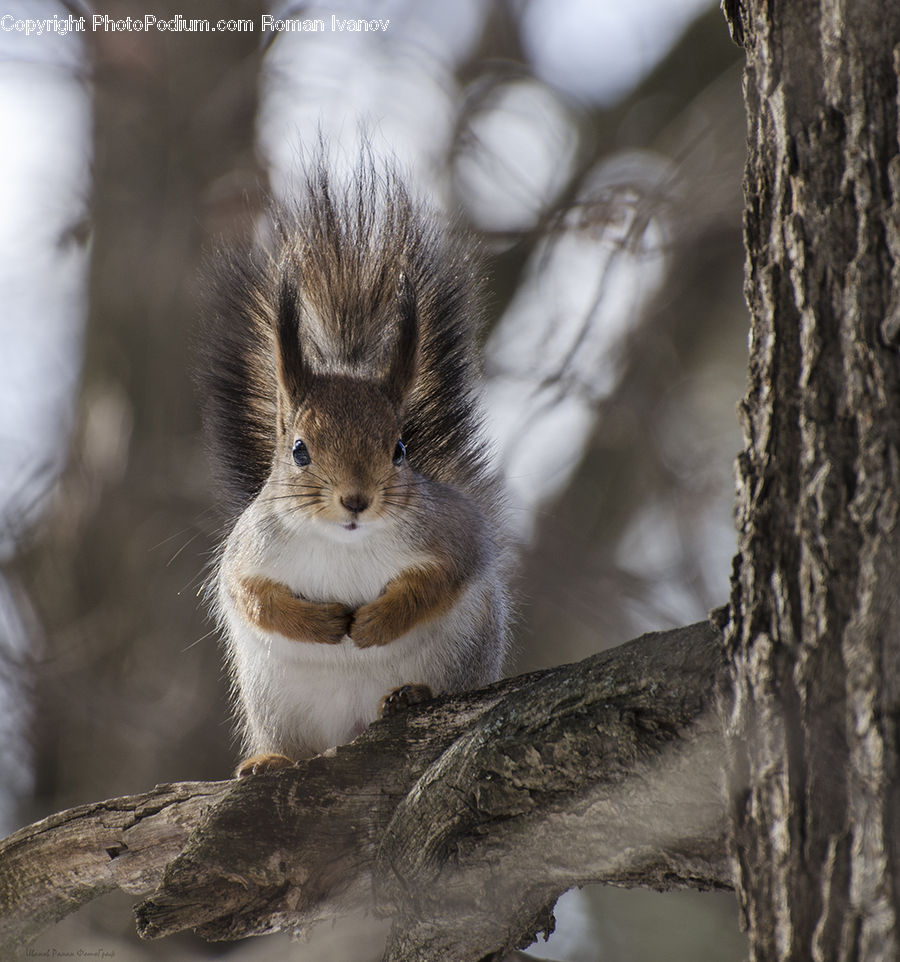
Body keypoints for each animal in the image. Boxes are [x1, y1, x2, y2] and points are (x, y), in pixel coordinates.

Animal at [198, 159, 512, 777]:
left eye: (400, 449)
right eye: (299, 450)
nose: (356, 499)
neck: (343, 542)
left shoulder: (453, 533)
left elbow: (441, 580)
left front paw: (376, 622)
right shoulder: (248, 549)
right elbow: (248, 594)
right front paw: (318, 624)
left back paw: (411, 695)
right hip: (279, 703)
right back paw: (271, 760)